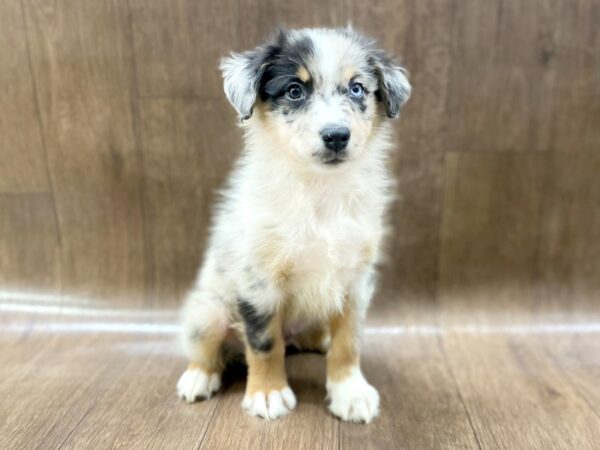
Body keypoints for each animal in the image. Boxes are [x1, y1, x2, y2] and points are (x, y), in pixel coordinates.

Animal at [176, 27, 410, 422]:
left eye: (357, 88)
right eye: (295, 91)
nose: (336, 136)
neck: (319, 192)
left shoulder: (356, 279)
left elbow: (349, 341)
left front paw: (350, 391)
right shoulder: (259, 282)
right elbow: (265, 343)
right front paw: (268, 394)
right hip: (208, 309)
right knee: (206, 346)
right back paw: (198, 377)